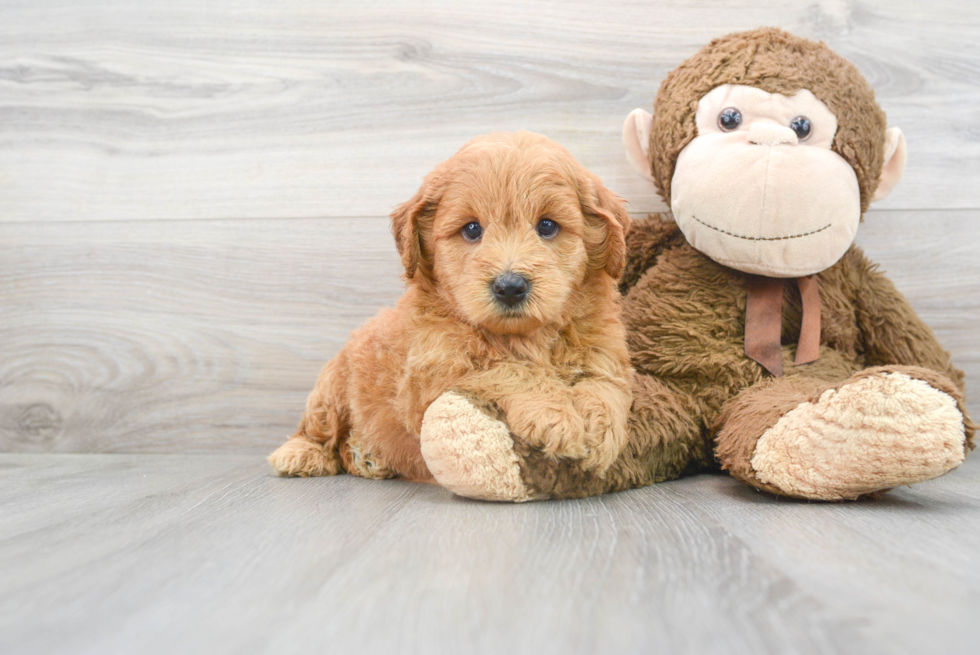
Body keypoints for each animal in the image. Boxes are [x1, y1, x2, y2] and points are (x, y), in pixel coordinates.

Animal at [268, 133, 632, 490]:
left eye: (546, 226)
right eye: (471, 229)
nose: (510, 286)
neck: (524, 337)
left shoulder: (605, 355)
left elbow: (604, 386)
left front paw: (600, 430)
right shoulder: (433, 378)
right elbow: (508, 370)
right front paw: (556, 415)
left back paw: (366, 457)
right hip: (331, 387)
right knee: (319, 430)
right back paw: (303, 454)